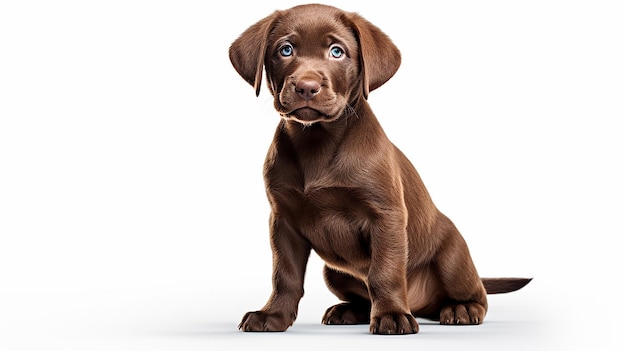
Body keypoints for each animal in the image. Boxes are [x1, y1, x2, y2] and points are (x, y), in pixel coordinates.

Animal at [227, 4, 528, 336]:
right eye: (286, 49)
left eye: (337, 52)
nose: (307, 87)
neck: (316, 142)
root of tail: (422, 305)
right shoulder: (283, 220)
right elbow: (285, 274)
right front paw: (273, 315)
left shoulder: (386, 215)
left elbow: (384, 271)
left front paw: (392, 315)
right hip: (334, 272)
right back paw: (348, 311)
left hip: (453, 257)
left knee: (477, 293)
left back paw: (460, 308)